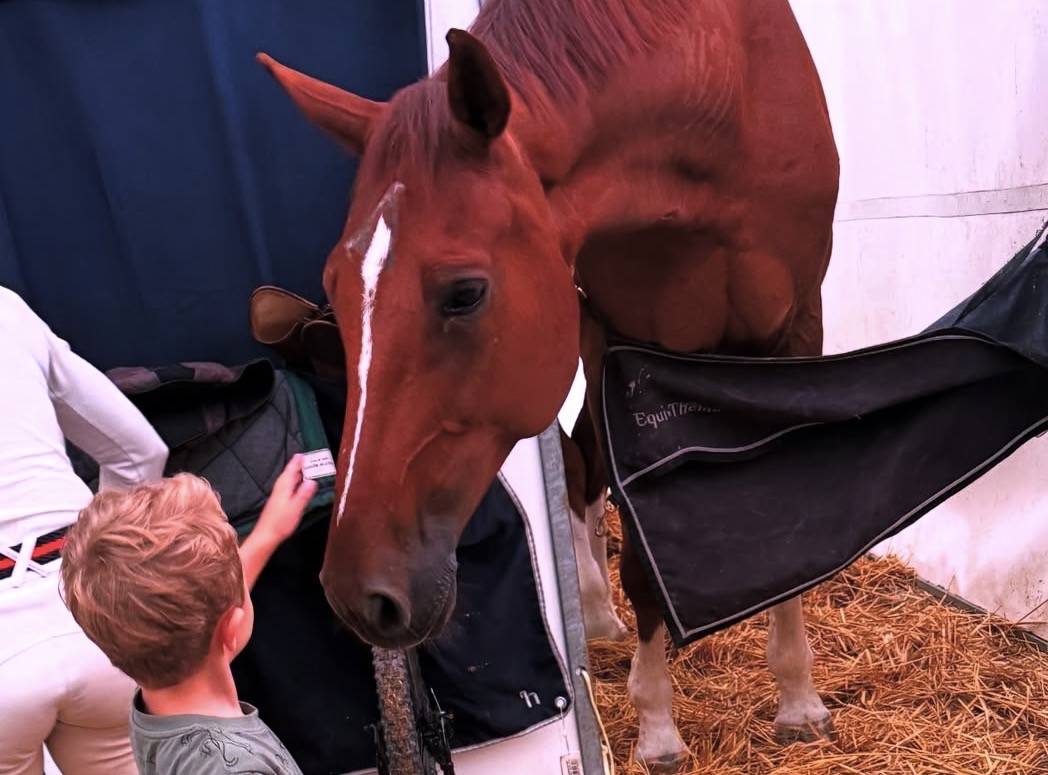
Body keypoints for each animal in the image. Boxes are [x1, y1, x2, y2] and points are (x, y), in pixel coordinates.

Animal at [259, 0, 839, 768]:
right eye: (336, 291)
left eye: (465, 293)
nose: (357, 594)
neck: (720, 94)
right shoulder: (619, 339)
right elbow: (635, 547)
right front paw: (657, 726)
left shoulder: (798, 326)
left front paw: (799, 699)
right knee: (579, 467)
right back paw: (594, 611)